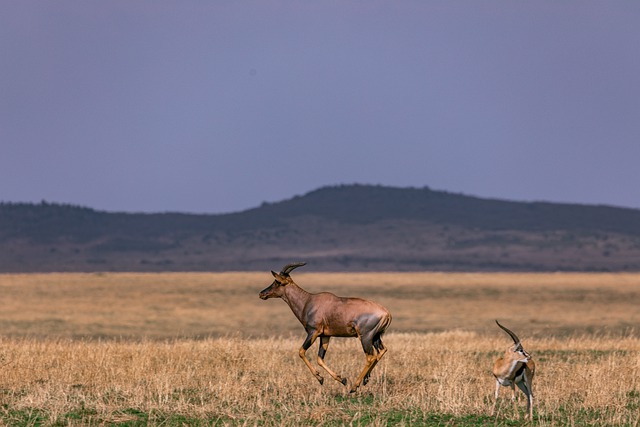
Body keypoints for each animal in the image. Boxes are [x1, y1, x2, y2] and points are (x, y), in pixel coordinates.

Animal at [258, 264, 390, 394]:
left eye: (277, 282)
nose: (262, 294)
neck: (308, 301)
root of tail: (387, 313)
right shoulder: (325, 335)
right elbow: (320, 359)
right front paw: (341, 379)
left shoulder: (313, 332)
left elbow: (301, 351)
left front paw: (320, 378)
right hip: (376, 337)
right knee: (381, 351)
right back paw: (365, 379)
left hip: (365, 337)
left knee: (371, 357)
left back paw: (354, 386)